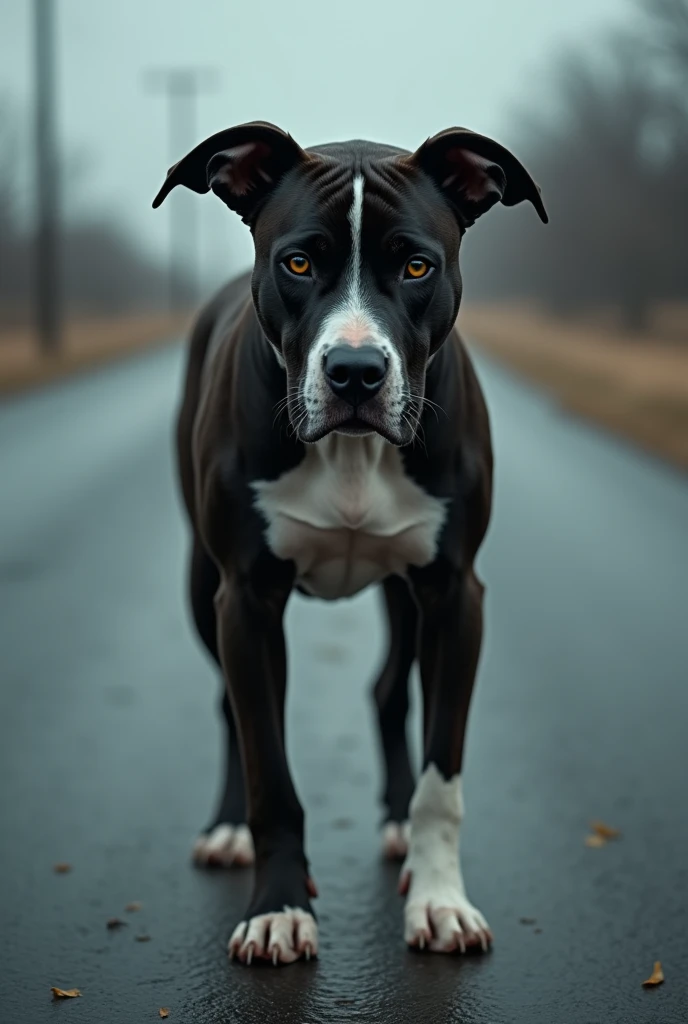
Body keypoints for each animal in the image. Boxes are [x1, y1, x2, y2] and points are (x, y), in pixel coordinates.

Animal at [153, 121, 544, 966]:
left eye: (417, 265)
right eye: (299, 263)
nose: (356, 372)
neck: (353, 453)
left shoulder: (455, 594)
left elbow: (442, 777)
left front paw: (440, 902)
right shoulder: (246, 597)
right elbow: (270, 769)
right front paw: (276, 908)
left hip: (404, 593)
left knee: (389, 690)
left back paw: (396, 822)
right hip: (202, 585)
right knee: (231, 705)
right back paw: (226, 828)